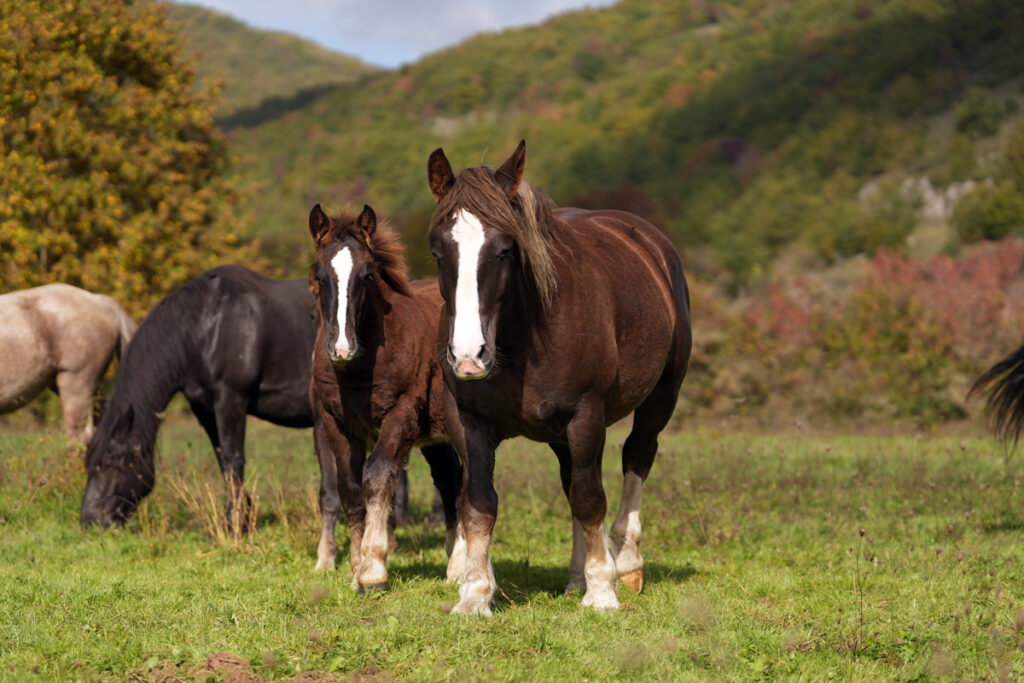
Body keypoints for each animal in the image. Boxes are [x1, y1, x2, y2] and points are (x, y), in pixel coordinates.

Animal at [305, 202, 462, 593]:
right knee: (450, 482)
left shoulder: (400, 415)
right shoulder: (335, 424)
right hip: (437, 437)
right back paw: (454, 564)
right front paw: (354, 568)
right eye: (320, 275)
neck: (358, 369)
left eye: (367, 275)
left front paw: (373, 570)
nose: (342, 349)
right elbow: (349, 489)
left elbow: (376, 476)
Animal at [428, 141, 692, 618]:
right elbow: (479, 503)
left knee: (636, 458)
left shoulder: (584, 415)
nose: (469, 357)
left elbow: (590, 499)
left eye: (505, 249)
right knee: (572, 481)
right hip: (559, 434)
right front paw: (474, 594)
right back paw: (576, 577)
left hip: (661, 397)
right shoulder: (468, 422)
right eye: (439, 251)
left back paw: (625, 563)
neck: (519, 339)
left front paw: (603, 590)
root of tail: (652, 243)